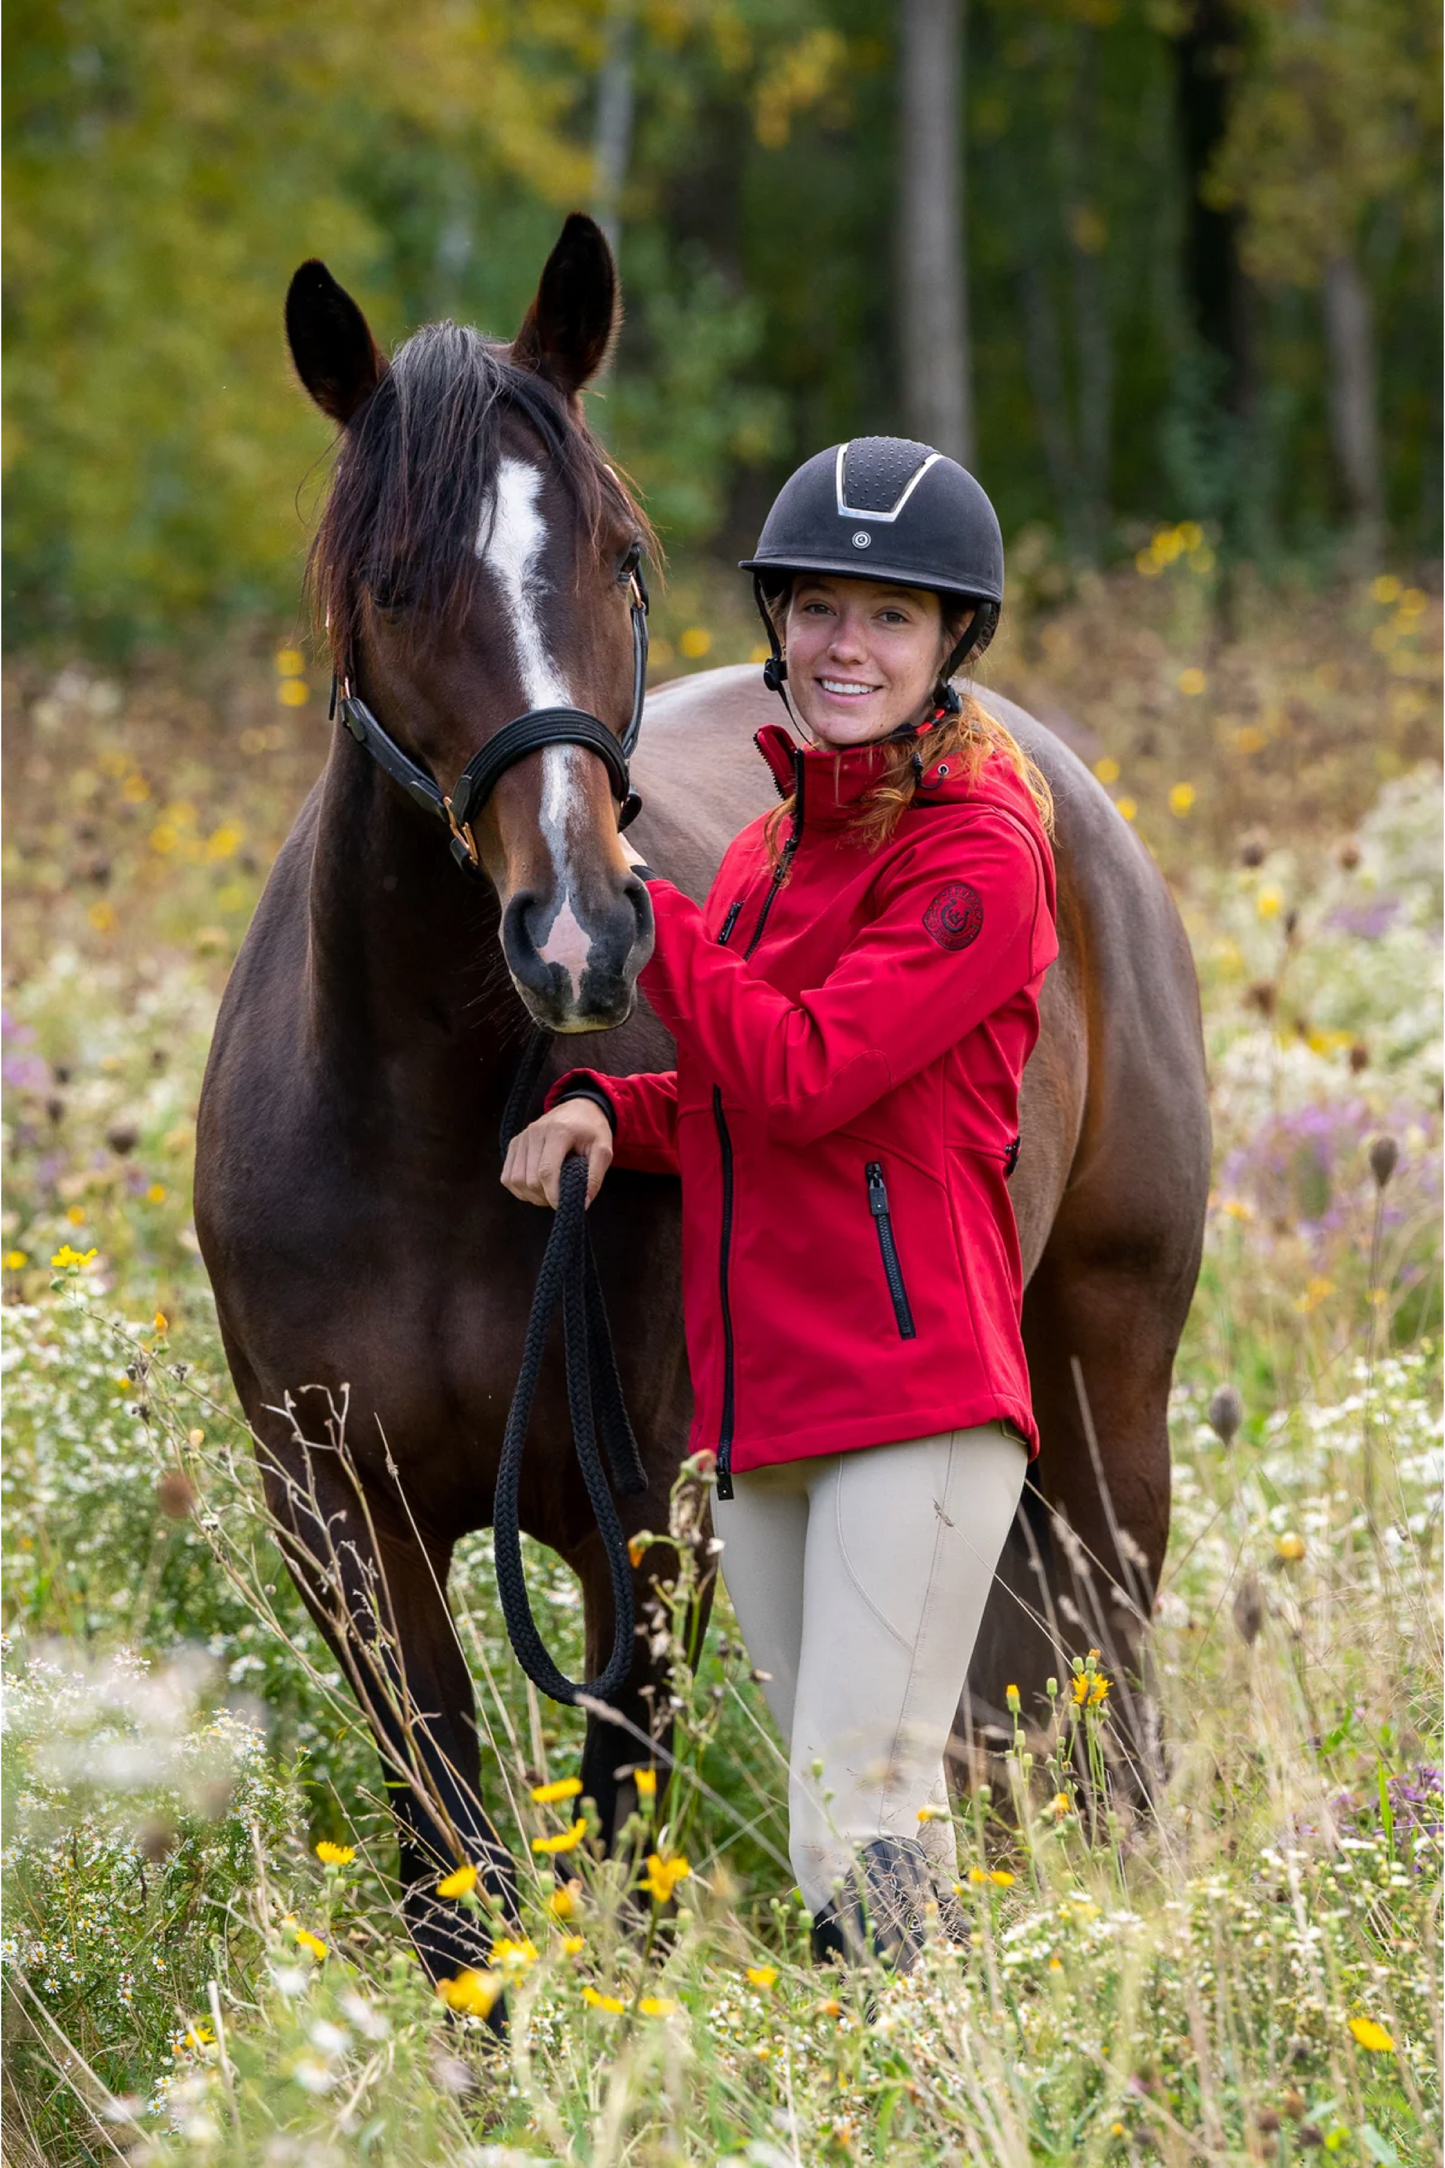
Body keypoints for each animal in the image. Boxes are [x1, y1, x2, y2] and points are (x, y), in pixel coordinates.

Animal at [191, 215, 1213, 1985]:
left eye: (618, 557)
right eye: (389, 583)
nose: (580, 937)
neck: (425, 1130)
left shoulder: (645, 1519)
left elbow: (619, 1847)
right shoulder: (340, 1531)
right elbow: (454, 1888)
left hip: (1105, 1394)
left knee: (1103, 1692)